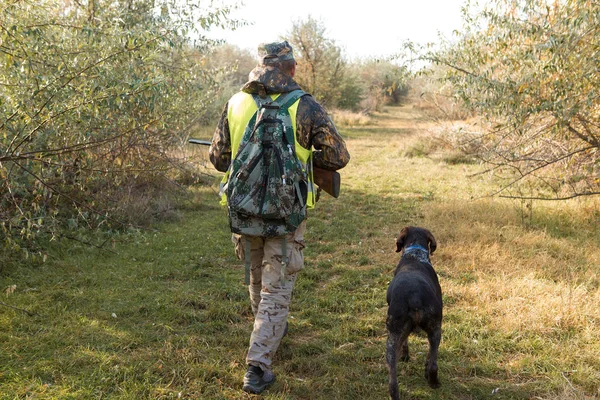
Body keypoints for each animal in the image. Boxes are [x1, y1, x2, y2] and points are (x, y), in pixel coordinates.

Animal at [384, 227, 440, 398]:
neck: (415, 254)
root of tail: (414, 296)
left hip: (392, 338)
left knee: (392, 381)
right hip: (435, 331)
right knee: (433, 363)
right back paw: (433, 381)